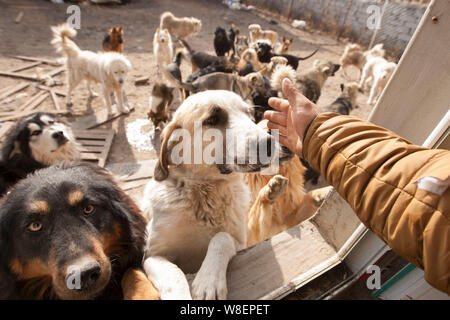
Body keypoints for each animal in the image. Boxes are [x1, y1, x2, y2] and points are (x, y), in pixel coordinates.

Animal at [142, 89, 294, 300]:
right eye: (213, 119)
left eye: (248, 114)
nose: (269, 143)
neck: (206, 191)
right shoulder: (152, 255)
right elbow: (173, 274)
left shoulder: (241, 244)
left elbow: (221, 238)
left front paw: (209, 281)